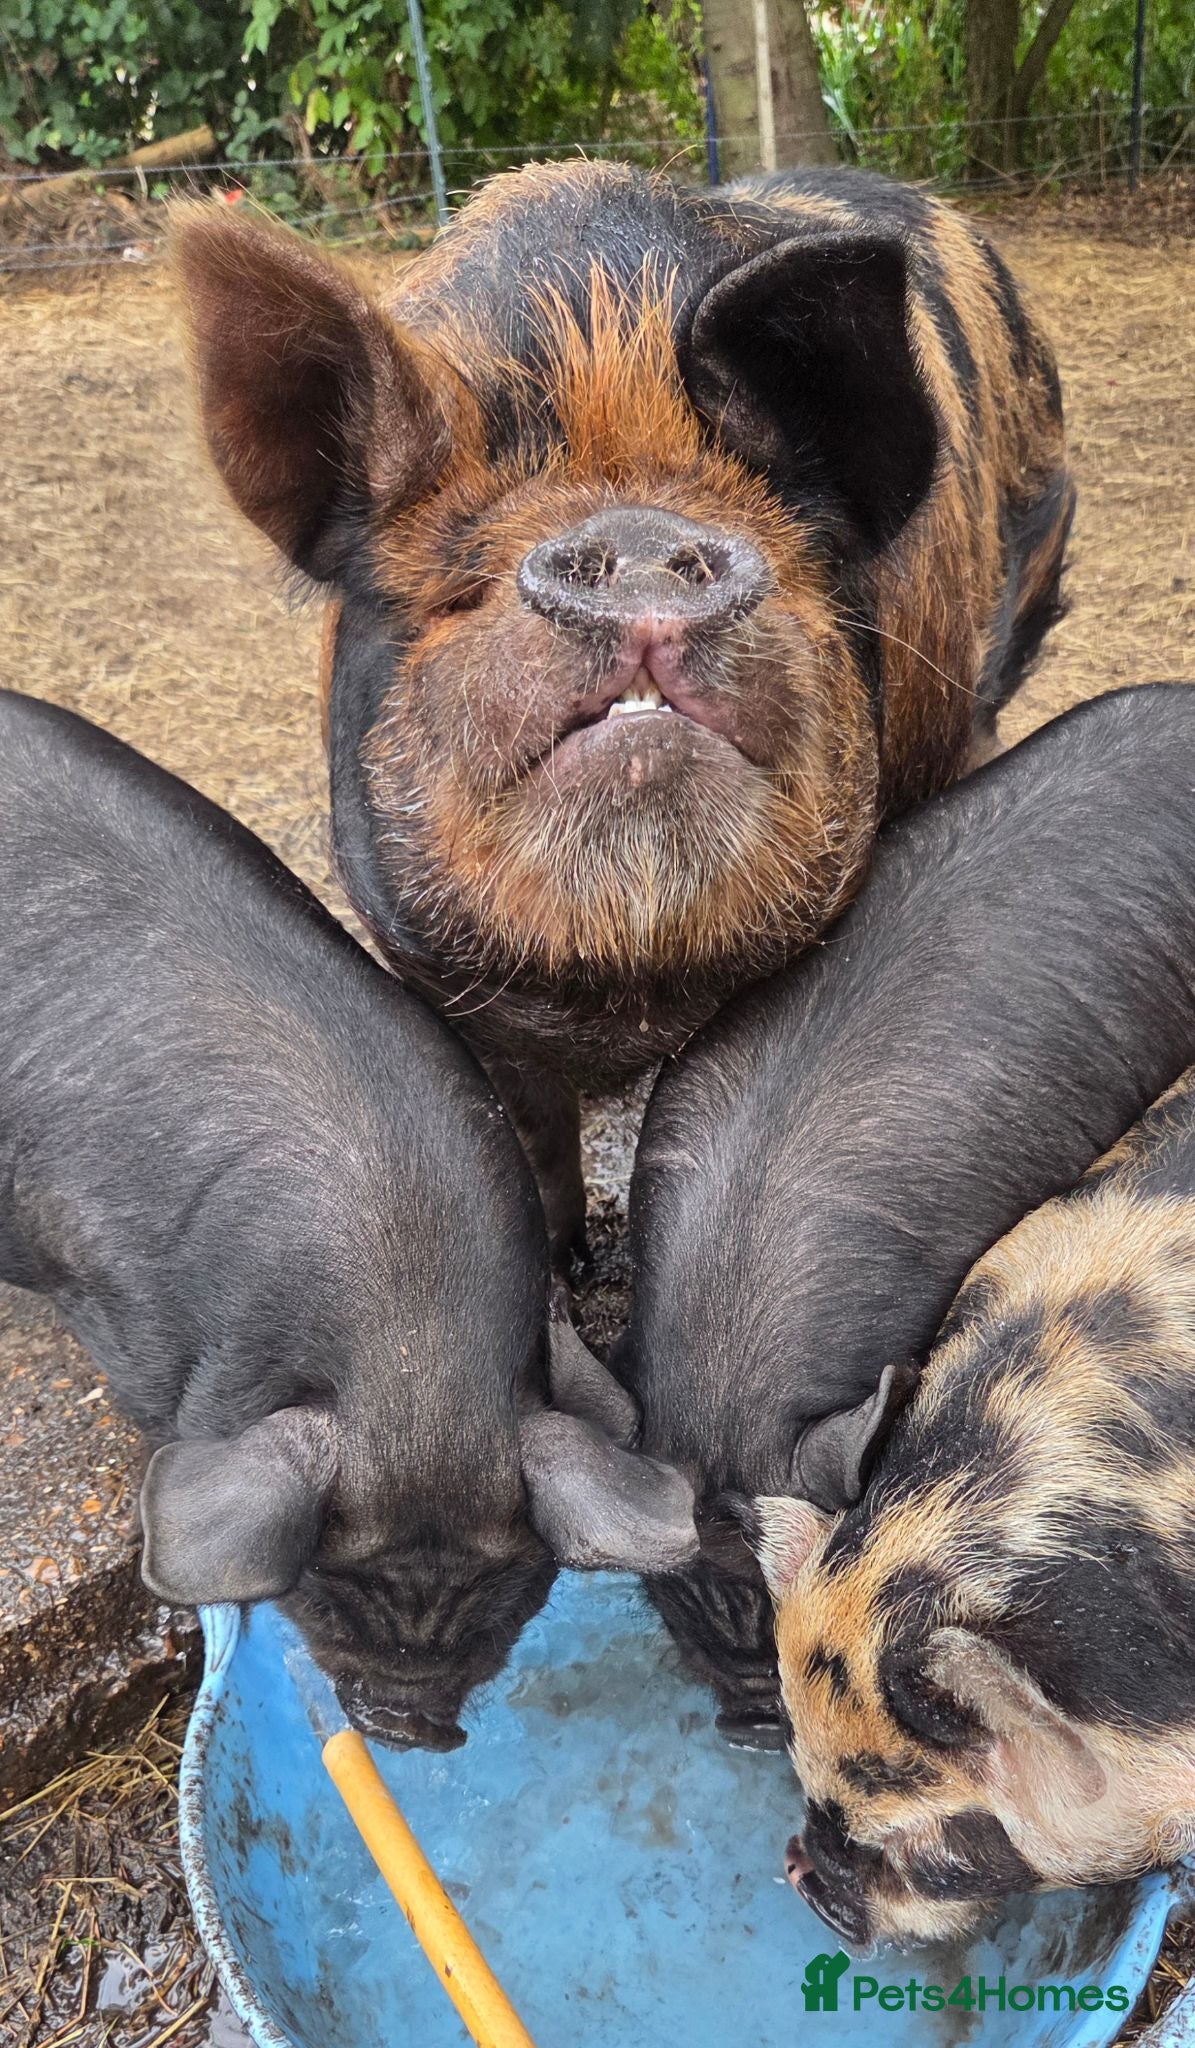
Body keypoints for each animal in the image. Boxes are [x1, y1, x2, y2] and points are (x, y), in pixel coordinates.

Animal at [172, 160, 1073, 1261]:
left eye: (797, 568)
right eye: (456, 590)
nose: (639, 536)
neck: (617, 997)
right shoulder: (435, 975)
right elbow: (526, 1128)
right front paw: (564, 1256)